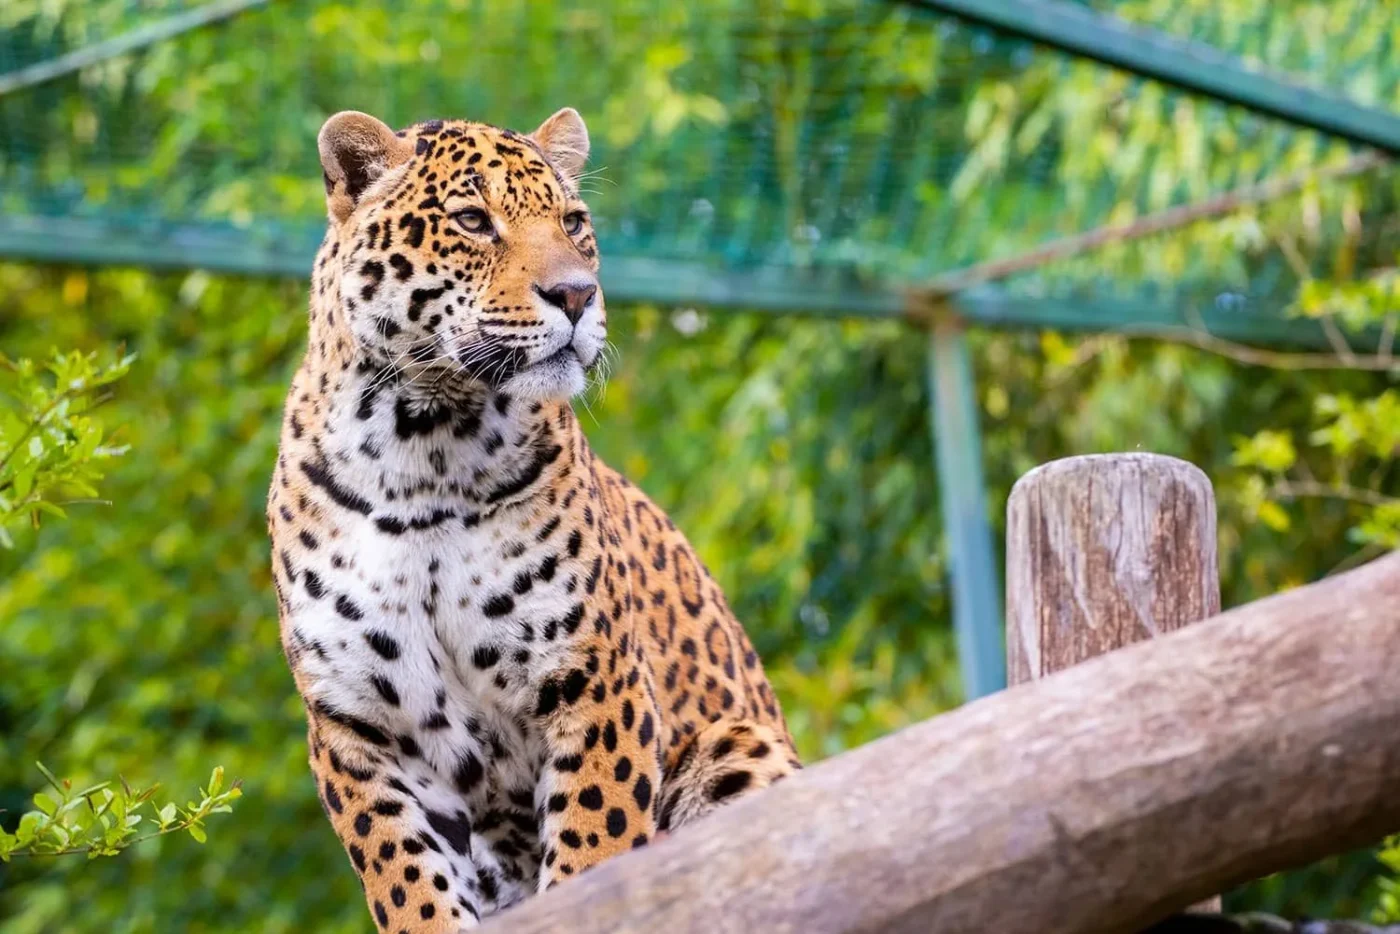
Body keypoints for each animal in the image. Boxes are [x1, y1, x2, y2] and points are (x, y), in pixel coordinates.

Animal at [266, 105, 800, 932]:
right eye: (472, 221)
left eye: (573, 223)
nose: (577, 295)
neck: (423, 449)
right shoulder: (358, 726)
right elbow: (407, 883)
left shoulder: (594, 680)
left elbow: (597, 849)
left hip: (738, 741)